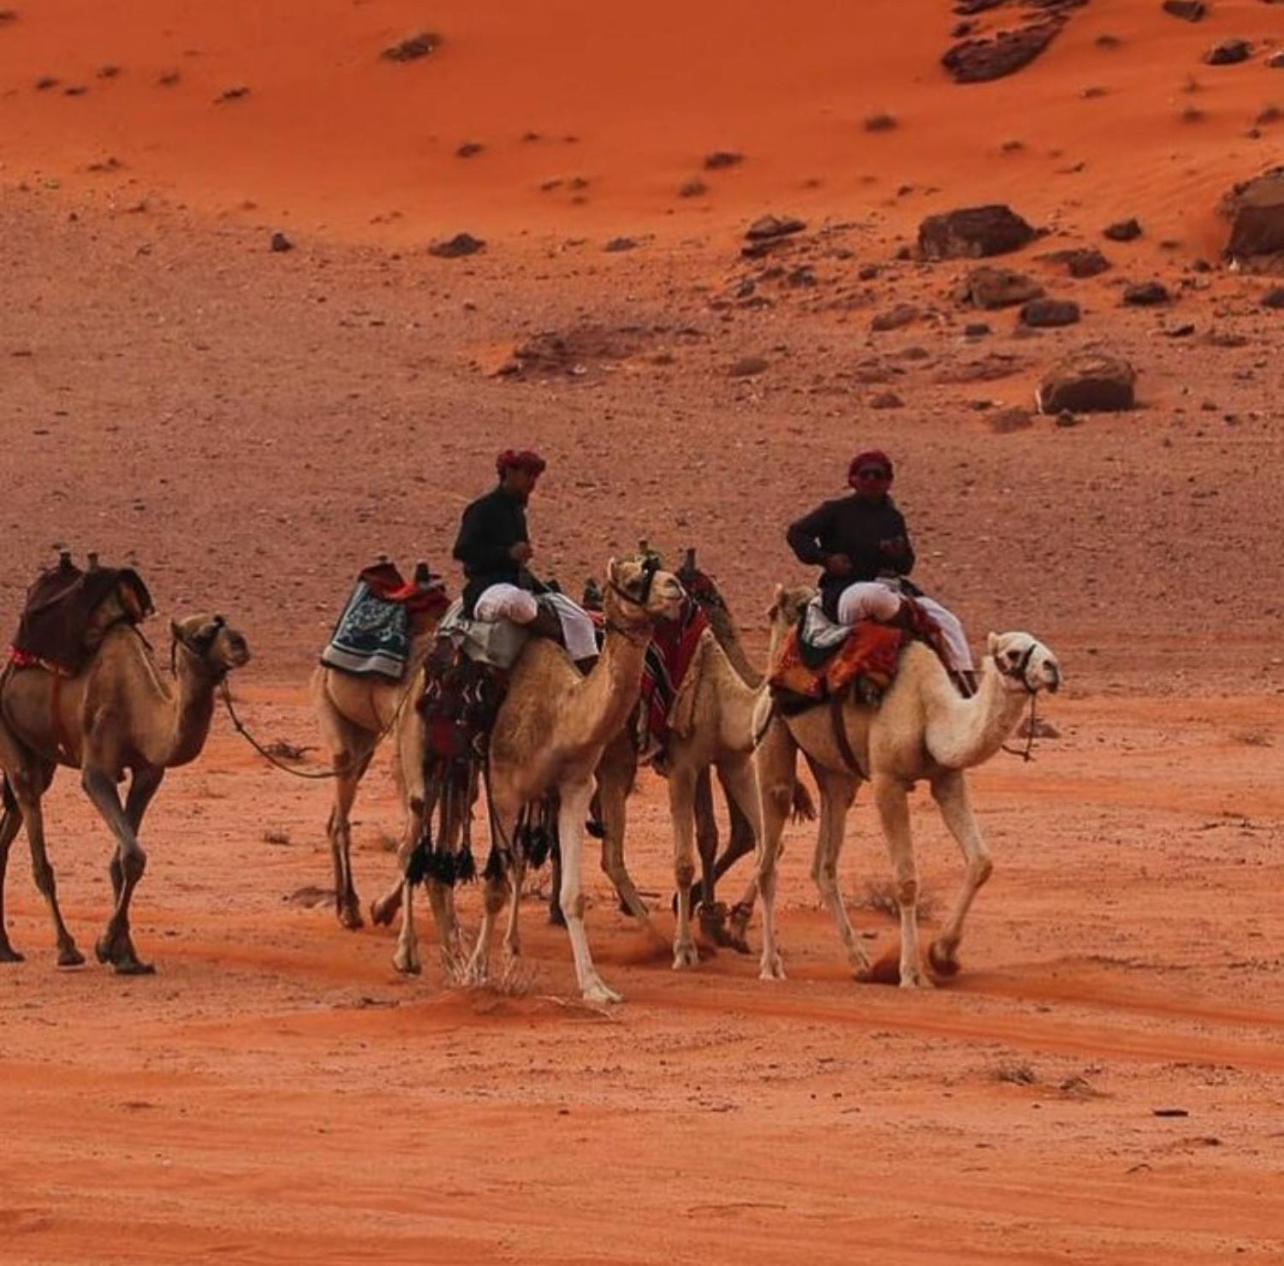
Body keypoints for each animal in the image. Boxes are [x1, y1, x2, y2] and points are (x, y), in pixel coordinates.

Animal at [0, 606, 249, 970]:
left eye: (227, 625)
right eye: (202, 634)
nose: (240, 644)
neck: (142, 711)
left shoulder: (149, 773)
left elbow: (122, 862)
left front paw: (126, 956)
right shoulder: (97, 772)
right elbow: (132, 854)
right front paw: (105, 947)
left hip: (40, 751)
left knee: (13, 816)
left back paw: (5, 948)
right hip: (8, 734)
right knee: (28, 798)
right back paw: (66, 949)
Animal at [749, 582, 1058, 986]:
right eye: (1014, 652)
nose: (1053, 668)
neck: (930, 708)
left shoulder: (947, 777)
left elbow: (981, 861)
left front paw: (943, 955)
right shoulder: (888, 781)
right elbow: (907, 881)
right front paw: (911, 972)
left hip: (838, 776)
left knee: (824, 864)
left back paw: (860, 963)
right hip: (772, 741)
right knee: (767, 858)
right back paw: (771, 967)